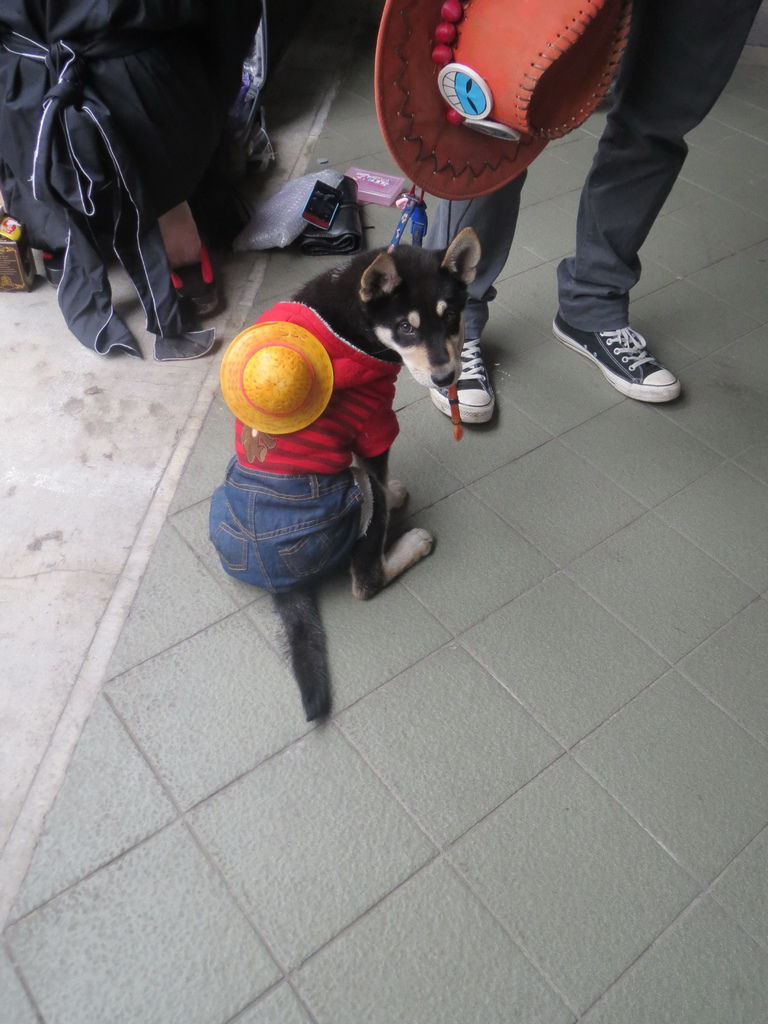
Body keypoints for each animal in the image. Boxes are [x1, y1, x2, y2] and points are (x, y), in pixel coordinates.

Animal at [210, 227, 481, 720]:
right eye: (406, 327)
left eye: (451, 317)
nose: (445, 377)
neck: (356, 319)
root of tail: (279, 580)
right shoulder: (374, 424)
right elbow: (381, 472)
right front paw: (396, 497)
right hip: (358, 493)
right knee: (366, 581)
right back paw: (412, 543)